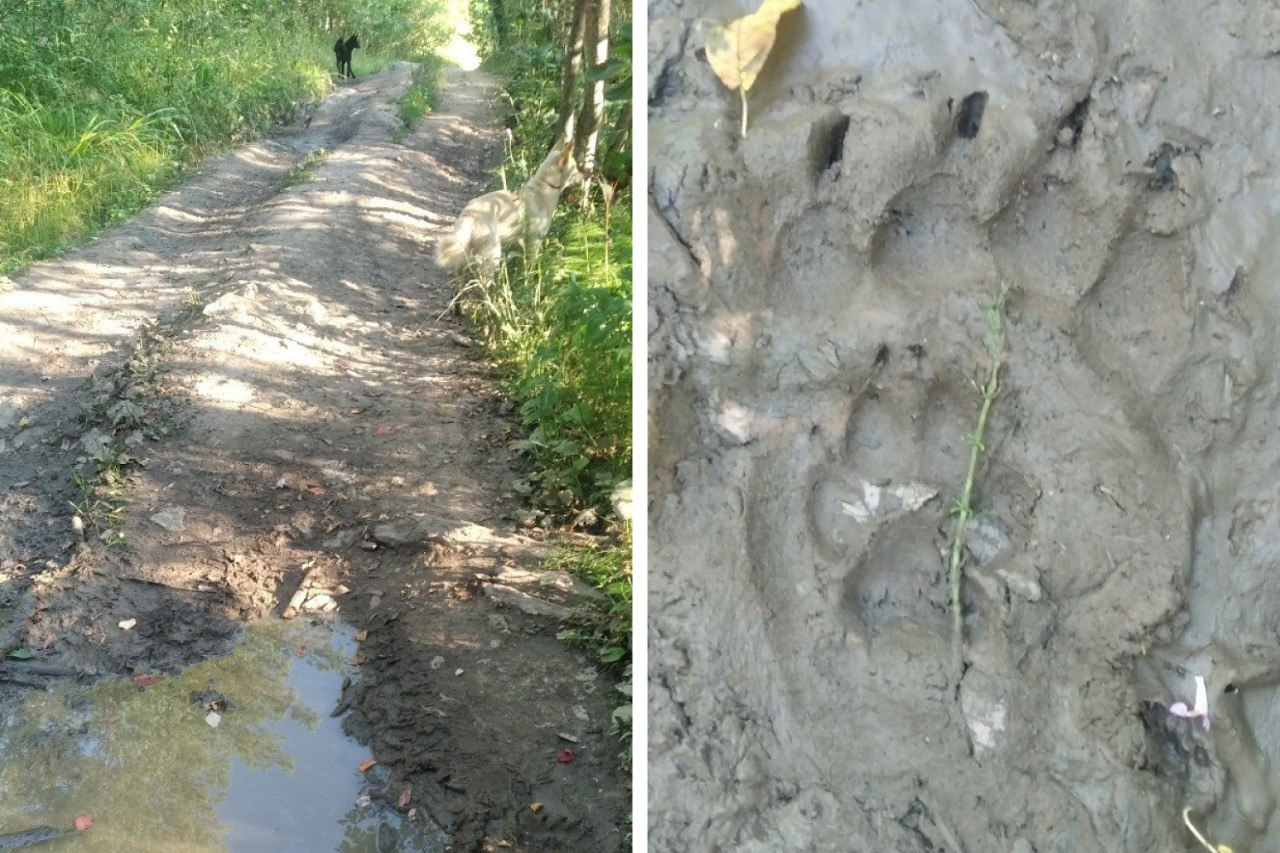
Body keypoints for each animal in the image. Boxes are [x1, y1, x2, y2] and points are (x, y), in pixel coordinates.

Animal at [437, 142, 583, 289]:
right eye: (575, 168)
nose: (587, 175)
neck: (544, 184)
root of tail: (470, 214)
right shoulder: (534, 242)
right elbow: (530, 268)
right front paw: (529, 285)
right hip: (492, 256)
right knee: (483, 283)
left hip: (465, 254)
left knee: (460, 280)